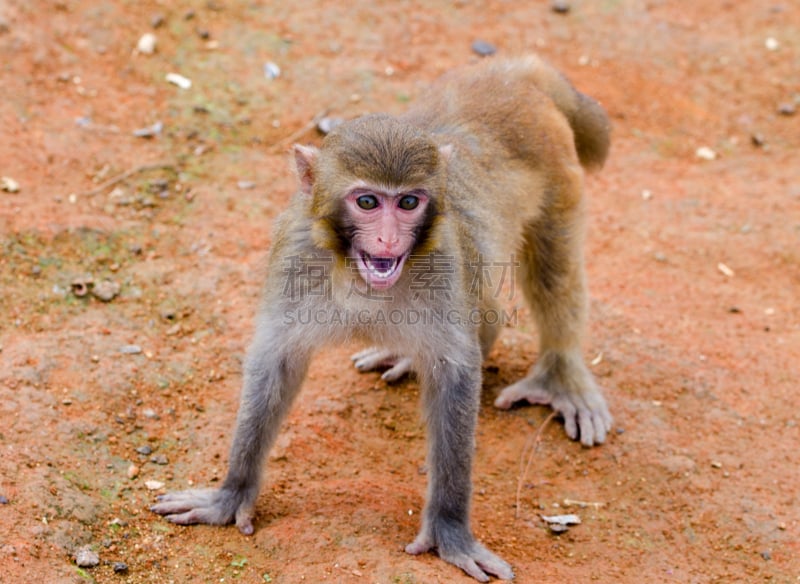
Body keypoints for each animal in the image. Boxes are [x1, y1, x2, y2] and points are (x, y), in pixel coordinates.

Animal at [152, 53, 612, 580]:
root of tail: (517, 70)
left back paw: (560, 377)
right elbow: (276, 362)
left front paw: (449, 528)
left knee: (553, 268)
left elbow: (455, 375)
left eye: (409, 202)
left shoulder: (443, 260)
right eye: (368, 201)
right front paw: (231, 494)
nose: (389, 240)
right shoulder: (295, 256)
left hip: (558, 168)